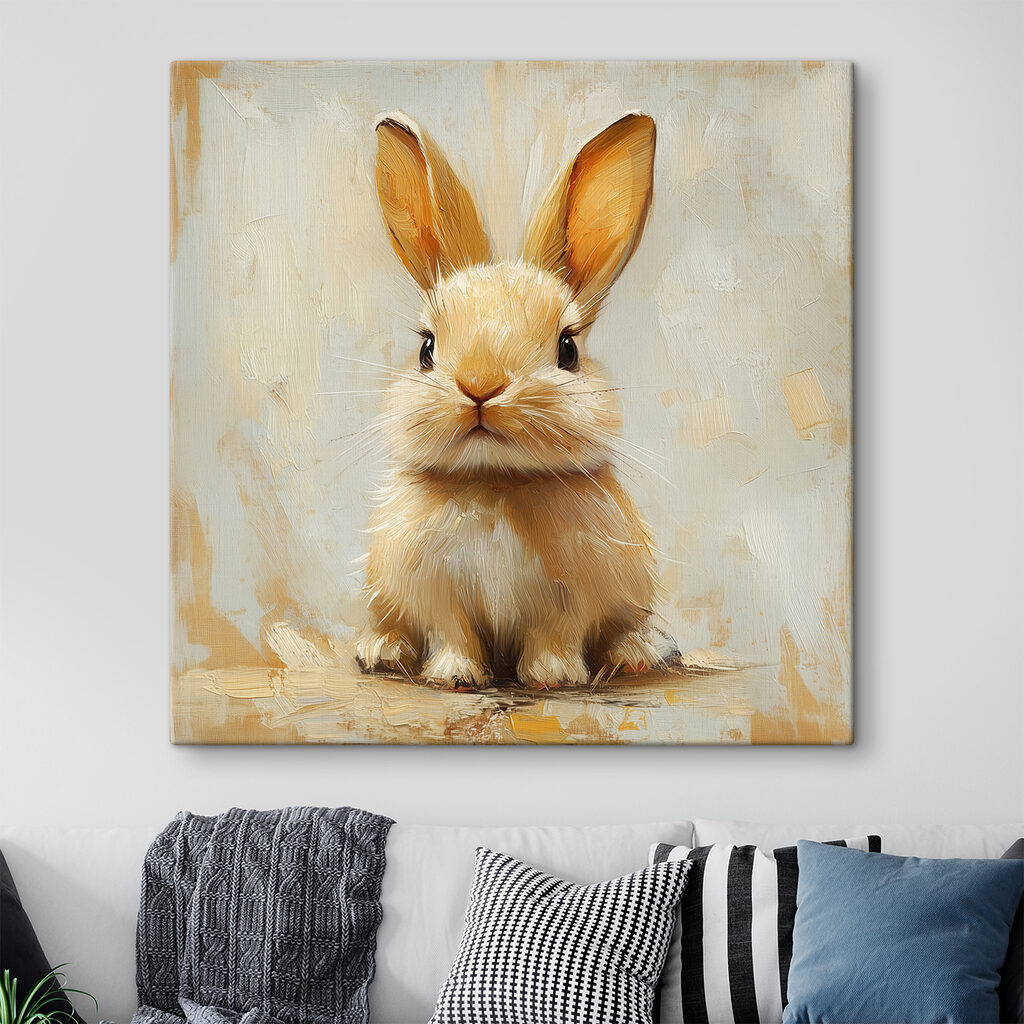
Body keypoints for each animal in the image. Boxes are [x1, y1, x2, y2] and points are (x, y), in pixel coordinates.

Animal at [355, 110, 667, 691]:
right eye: (426, 348)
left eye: (568, 349)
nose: (481, 386)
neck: (495, 481)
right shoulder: (435, 594)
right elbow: (452, 633)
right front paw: (456, 676)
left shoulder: (569, 599)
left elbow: (555, 635)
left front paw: (554, 677)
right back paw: (381, 651)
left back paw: (639, 653)